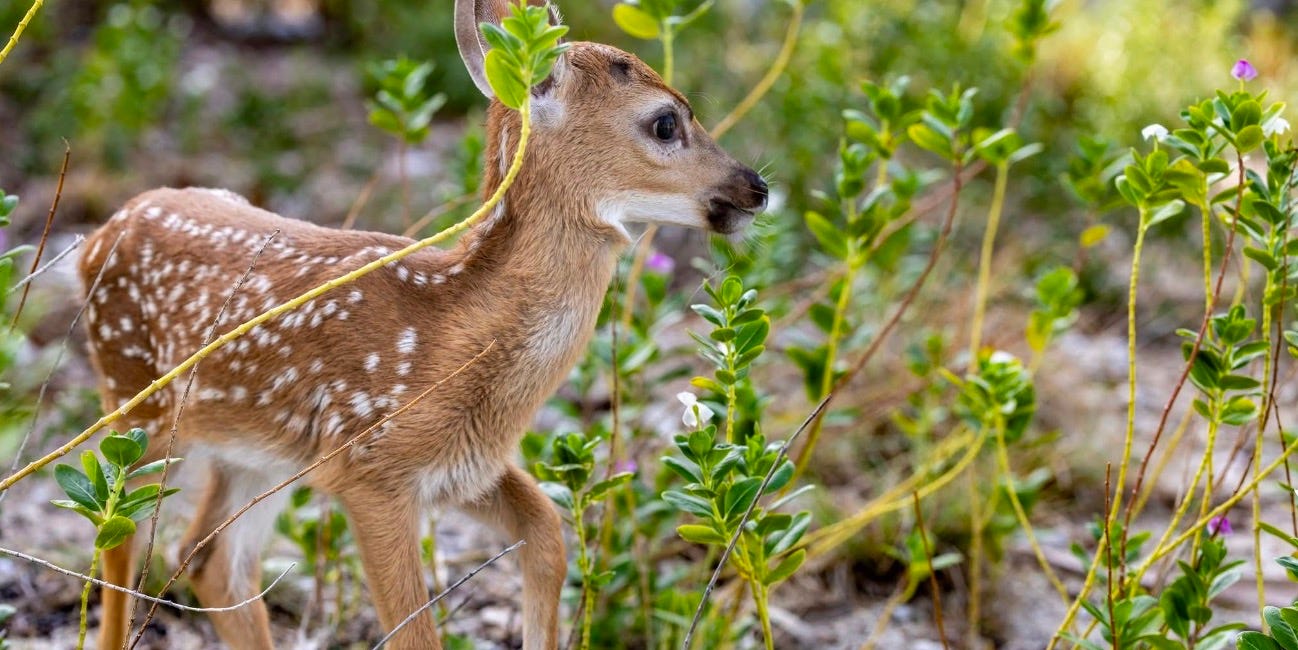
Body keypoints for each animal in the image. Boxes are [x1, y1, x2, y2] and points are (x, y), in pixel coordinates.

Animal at [77, 0, 767, 647]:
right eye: (666, 121)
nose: (756, 186)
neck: (451, 336)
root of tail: (104, 231)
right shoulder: (369, 466)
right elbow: (415, 630)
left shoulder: (464, 465)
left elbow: (548, 531)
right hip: (134, 401)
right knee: (115, 532)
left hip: (254, 453)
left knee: (211, 562)